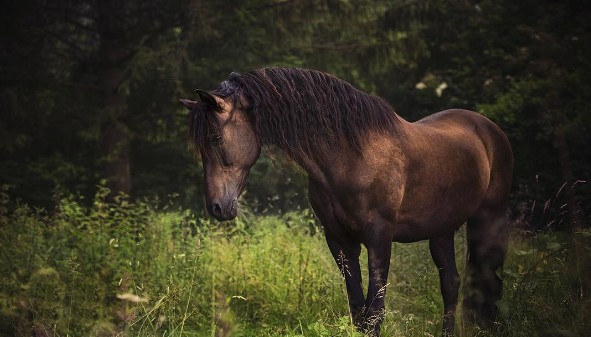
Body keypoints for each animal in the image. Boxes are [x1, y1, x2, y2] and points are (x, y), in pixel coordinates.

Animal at [180, 67, 512, 334]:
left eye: (216, 138)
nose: (217, 208)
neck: (350, 156)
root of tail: (488, 128)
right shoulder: (339, 240)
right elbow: (357, 309)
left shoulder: (379, 237)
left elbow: (374, 312)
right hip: (441, 230)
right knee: (451, 283)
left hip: (488, 219)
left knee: (486, 280)